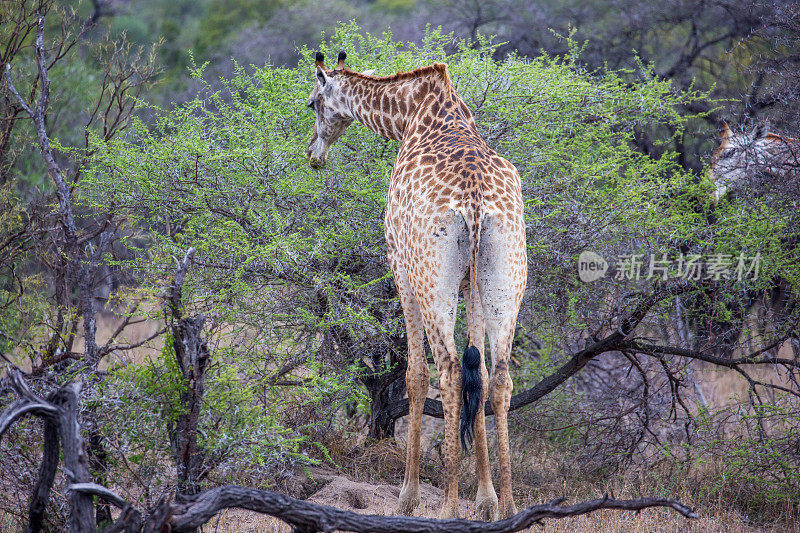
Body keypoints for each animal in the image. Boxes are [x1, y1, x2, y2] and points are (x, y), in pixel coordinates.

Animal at [304, 52, 524, 516]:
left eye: (313, 103)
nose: (313, 154)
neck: (411, 115)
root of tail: (475, 203)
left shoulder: (399, 266)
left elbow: (415, 375)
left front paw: (408, 497)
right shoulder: (470, 286)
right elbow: (479, 373)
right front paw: (486, 500)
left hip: (430, 282)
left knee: (450, 371)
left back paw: (448, 509)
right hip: (505, 280)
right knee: (498, 377)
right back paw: (509, 509)